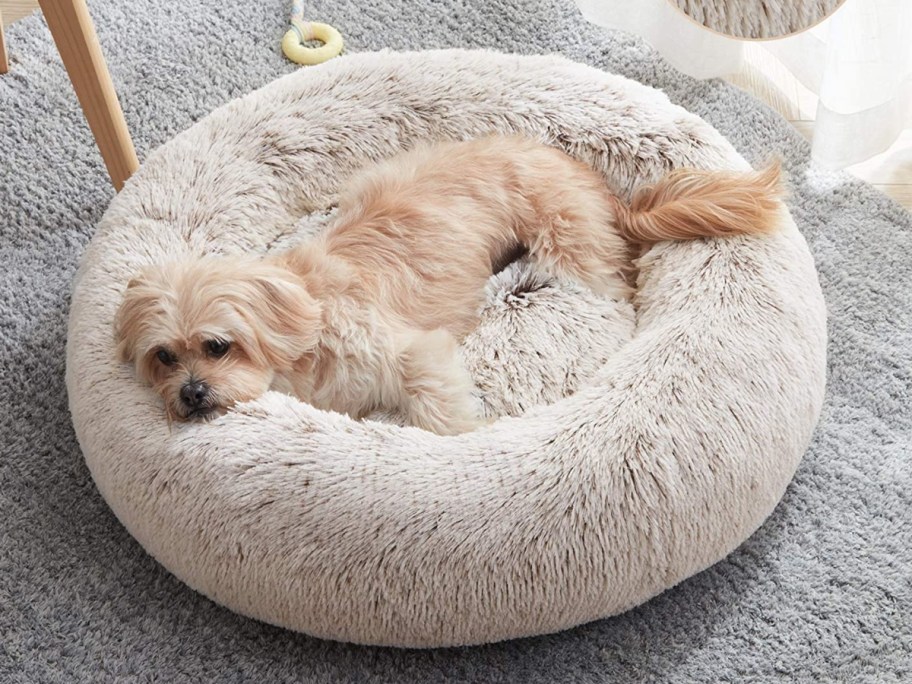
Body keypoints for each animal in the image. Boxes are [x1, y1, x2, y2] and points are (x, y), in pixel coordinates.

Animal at [114, 135, 784, 432]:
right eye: (163, 356)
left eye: (218, 345)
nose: (191, 394)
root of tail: (597, 184)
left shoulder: (415, 356)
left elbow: (441, 416)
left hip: (573, 256)